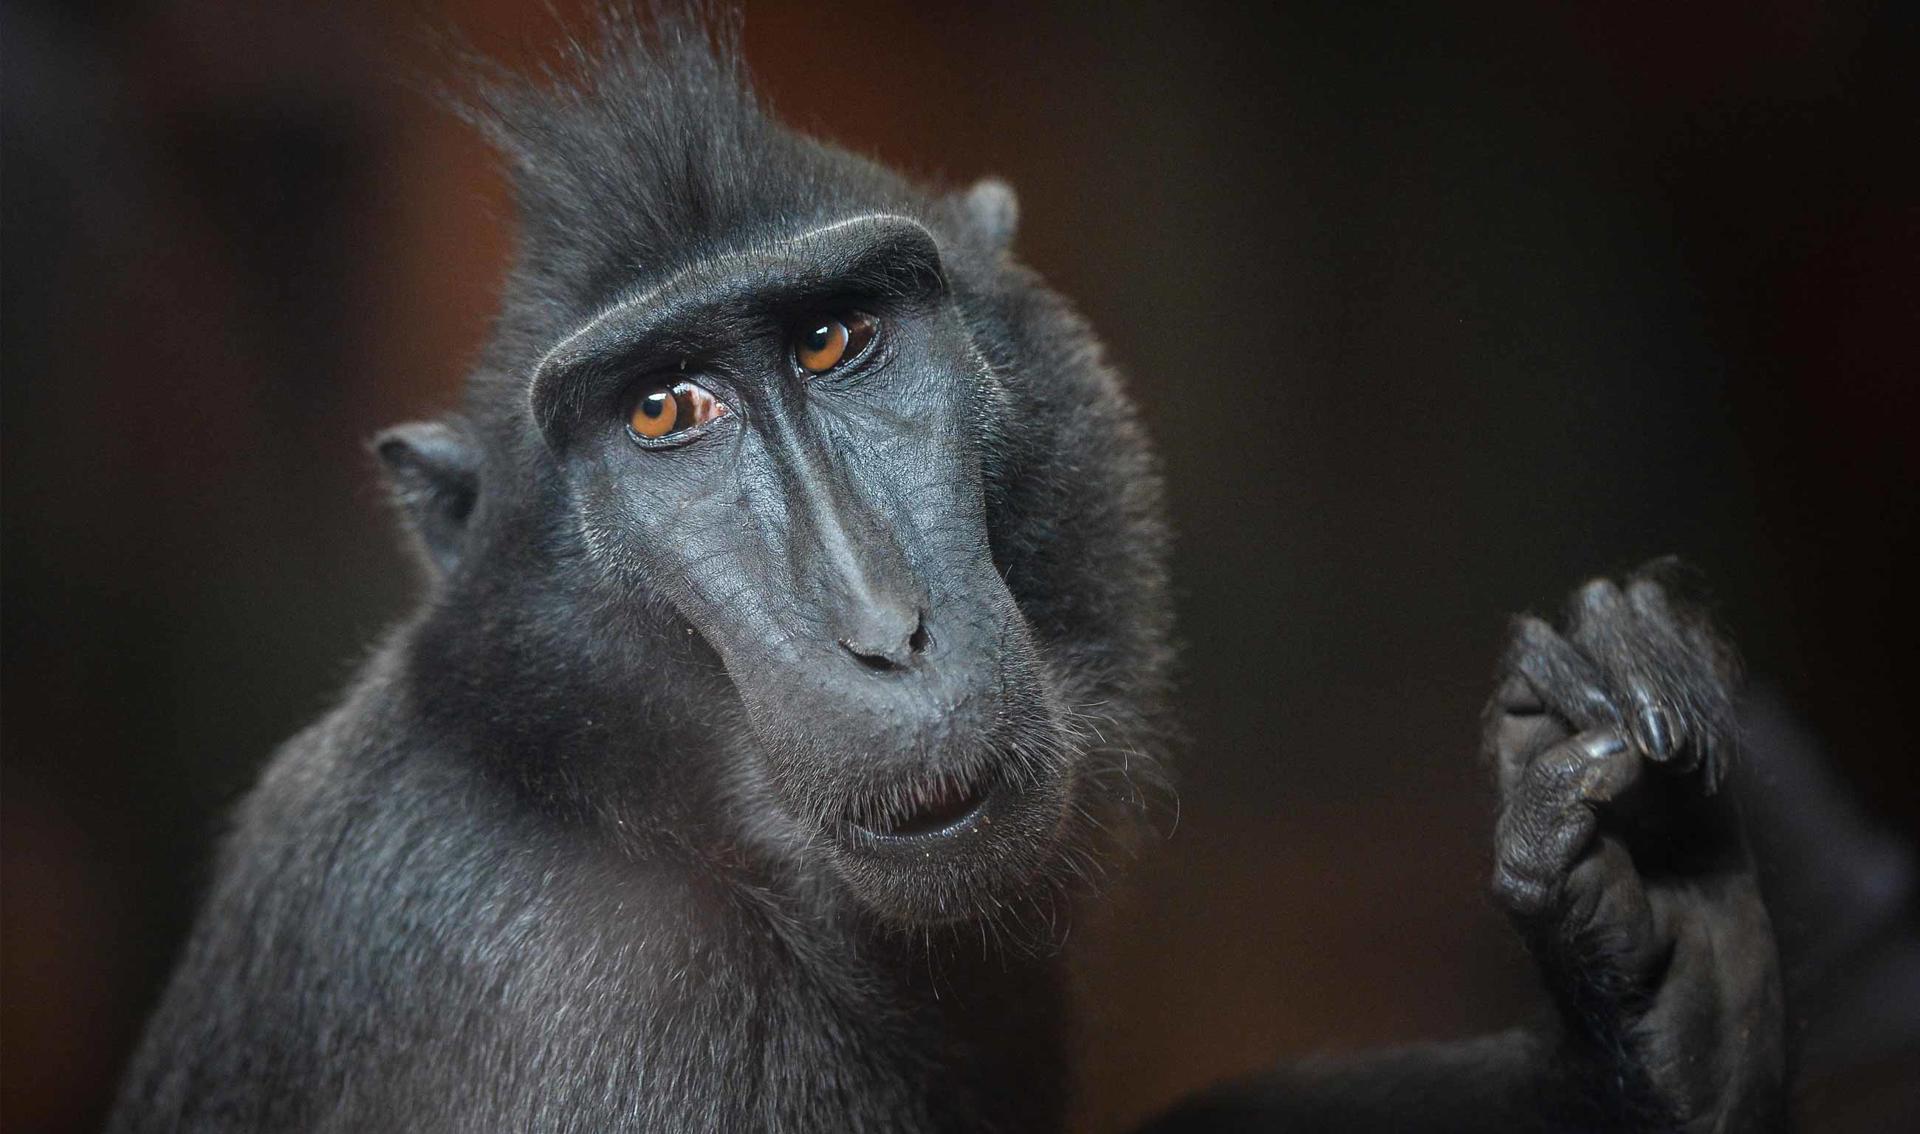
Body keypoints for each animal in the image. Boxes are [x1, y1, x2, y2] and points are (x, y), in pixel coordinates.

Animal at [110, 9, 1791, 1132]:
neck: (612, 797)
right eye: (665, 414)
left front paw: (1658, 978)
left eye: (834, 336)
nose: (881, 630)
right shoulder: (596, 1030)